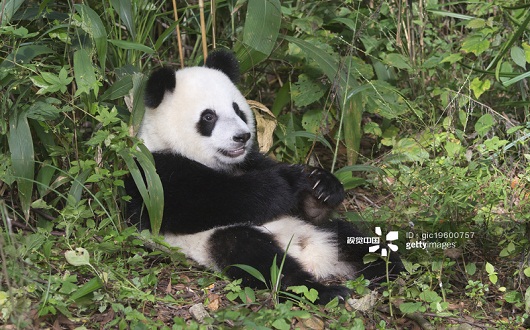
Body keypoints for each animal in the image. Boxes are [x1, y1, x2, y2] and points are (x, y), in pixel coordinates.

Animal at [125, 49, 400, 304]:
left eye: (238, 110)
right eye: (208, 116)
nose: (242, 137)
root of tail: (315, 256)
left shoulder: (251, 161)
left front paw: (322, 186)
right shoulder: (154, 175)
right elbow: (211, 203)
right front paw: (288, 182)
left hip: (326, 230)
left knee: (359, 243)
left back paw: (389, 270)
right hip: (216, 240)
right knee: (262, 260)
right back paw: (324, 291)